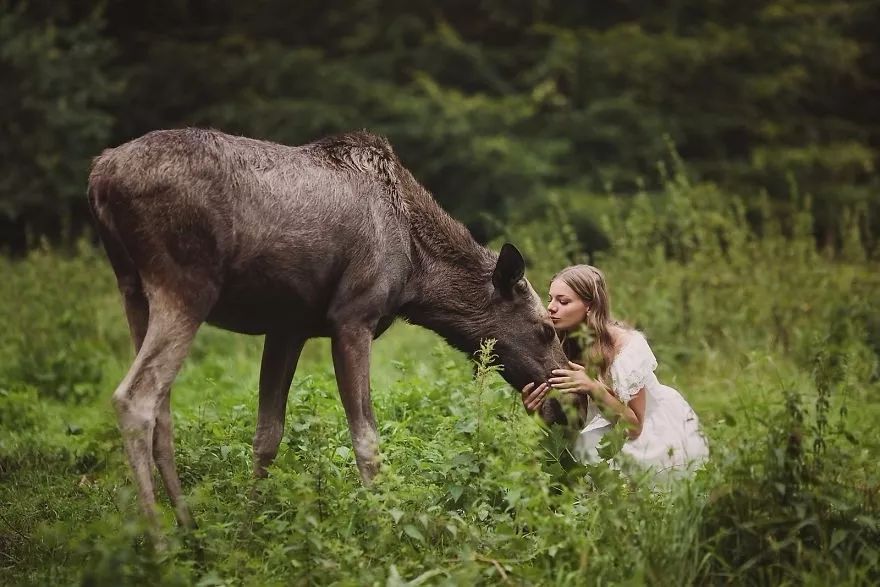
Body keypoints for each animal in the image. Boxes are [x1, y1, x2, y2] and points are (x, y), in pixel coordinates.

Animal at [89, 130, 568, 528]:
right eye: (547, 330)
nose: (564, 402)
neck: (417, 274)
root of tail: (99, 178)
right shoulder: (353, 317)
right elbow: (366, 438)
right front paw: (384, 528)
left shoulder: (288, 327)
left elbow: (267, 435)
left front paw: (247, 528)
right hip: (186, 286)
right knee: (135, 397)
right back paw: (160, 541)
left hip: (133, 290)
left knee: (163, 411)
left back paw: (190, 530)